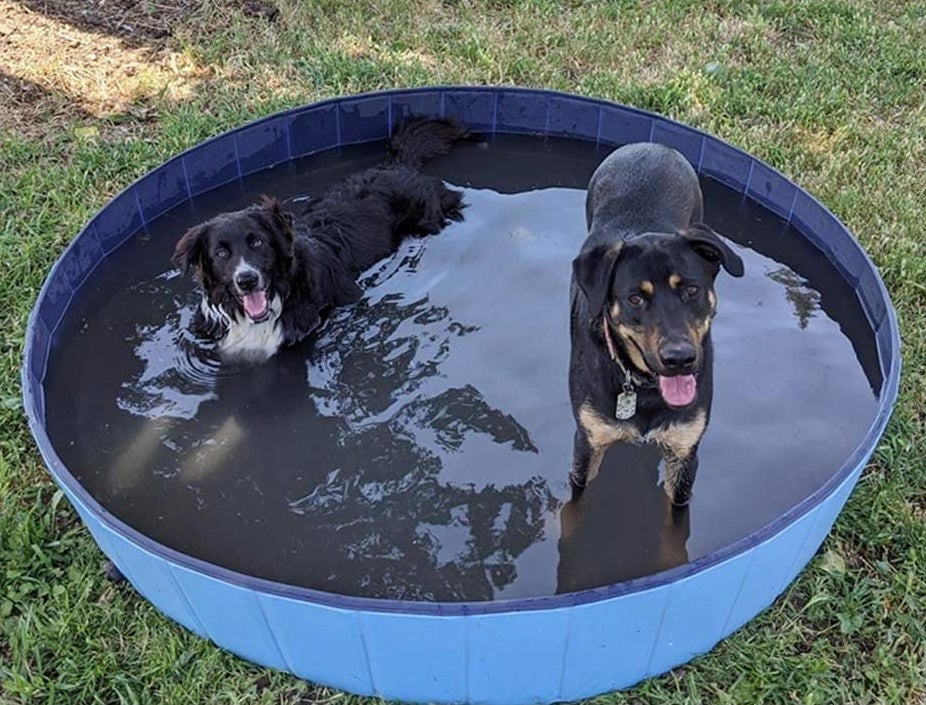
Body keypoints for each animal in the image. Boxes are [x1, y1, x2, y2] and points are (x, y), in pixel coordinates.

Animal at [564, 143, 748, 506]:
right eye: (635, 298)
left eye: (691, 289)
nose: (679, 359)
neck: (644, 388)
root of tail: (652, 146)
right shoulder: (587, 444)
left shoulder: (685, 451)